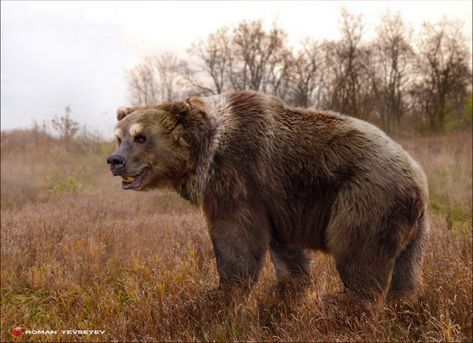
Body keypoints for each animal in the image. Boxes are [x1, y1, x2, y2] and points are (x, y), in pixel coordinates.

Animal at [107, 90, 428, 304]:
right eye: (119, 137)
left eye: (141, 137)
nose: (115, 160)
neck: (205, 154)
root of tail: (418, 177)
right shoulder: (277, 203)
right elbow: (286, 250)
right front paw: (290, 288)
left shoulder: (237, 176)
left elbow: (236, 239)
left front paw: (223, 292)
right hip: (414, 227)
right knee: (406, 271)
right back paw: (401, 303)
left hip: (366, 197)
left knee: (360, 254)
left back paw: (346, 302)